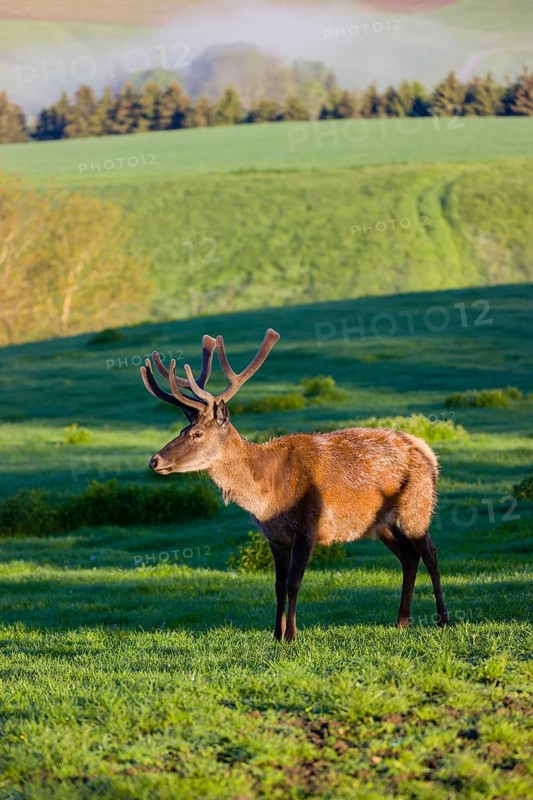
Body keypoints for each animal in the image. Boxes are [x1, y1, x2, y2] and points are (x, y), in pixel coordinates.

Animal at [141, 329, 449, 641]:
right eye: (183, 429)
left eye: (197, 434)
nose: (155, 460)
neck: (267, 497)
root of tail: (428, 454)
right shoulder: (276, 537)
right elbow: (278, 585)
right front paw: (276, 634)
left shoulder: (307, 529)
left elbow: (293, 584)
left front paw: (291, 635)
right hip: (381, 523)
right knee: (409, 558)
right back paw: (402, 620)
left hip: (416, 509)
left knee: (431, 553)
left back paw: (442, 619)